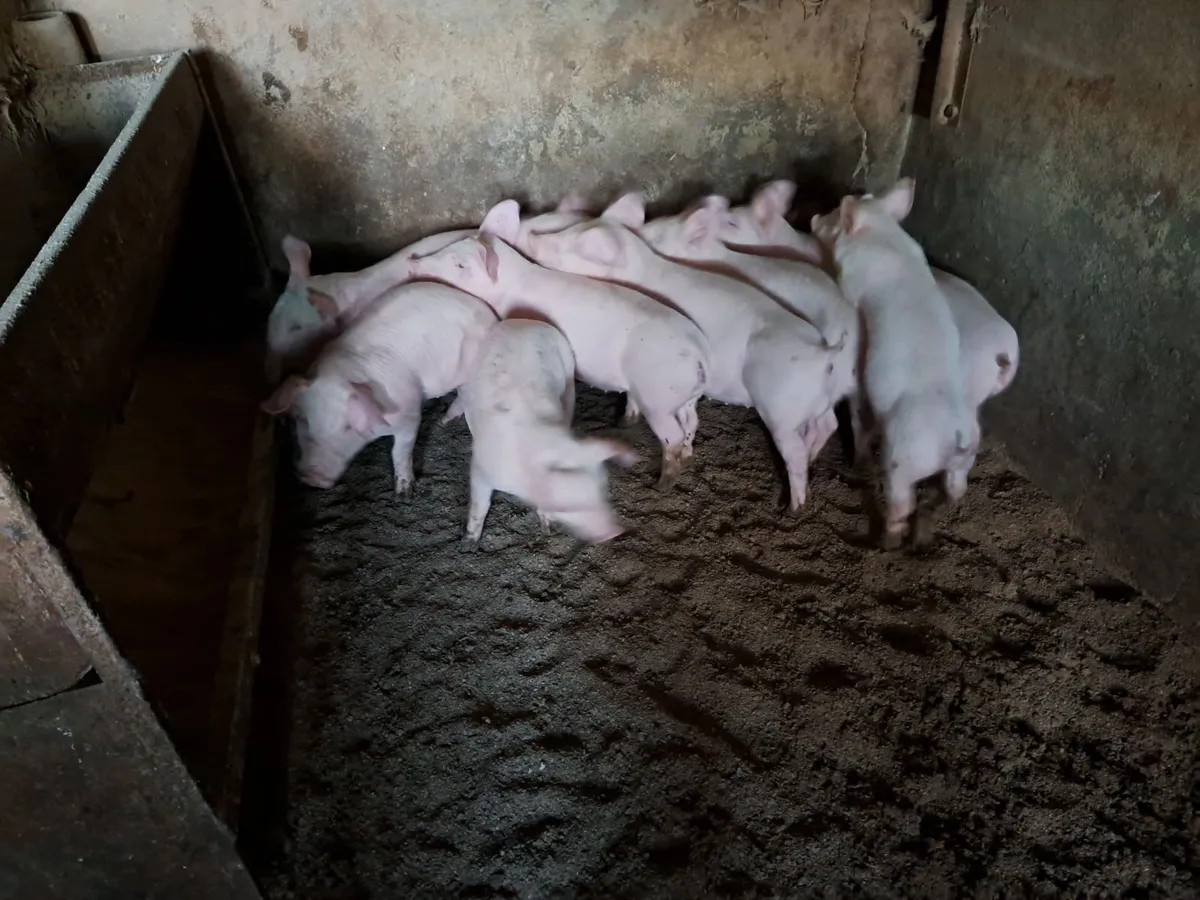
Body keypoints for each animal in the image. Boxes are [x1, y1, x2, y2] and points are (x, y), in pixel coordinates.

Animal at [260, 281, 497, 491]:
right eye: (302, 420)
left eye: (347, 426)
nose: (313, 478)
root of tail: (492, 317)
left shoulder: (408, 413)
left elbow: (401, 449)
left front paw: (404, 492)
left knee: (465, 397)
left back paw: (445, 421)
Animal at [408, 199, 710, 491]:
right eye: (447, 248)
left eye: (460, 265)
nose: (412, 261)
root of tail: (699, 353)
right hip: (683, 396)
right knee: (691, 423)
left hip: (659, 397)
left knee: (672, 436)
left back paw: (662, 485)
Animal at [446, 318, 633, 543]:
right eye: (570, 507)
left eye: (602, 489)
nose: (615, 532)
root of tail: (525, 321)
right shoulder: (481, 468)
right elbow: (479, 503)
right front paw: (471, 540)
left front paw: (546, 529)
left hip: (569, 373)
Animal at [523, 192, 844, 511]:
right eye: (568, 231)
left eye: (580, 247)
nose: (531, 237)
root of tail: (824, 353)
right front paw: (626, 421)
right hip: (818, 399)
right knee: (829, 424)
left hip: (781, 408)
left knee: (795, 451)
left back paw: (792, 508)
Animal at [811, 178, 977, 548]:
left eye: (834, 217)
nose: (813, 216)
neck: (883, 234)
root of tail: (954, 436)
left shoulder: (853, 278)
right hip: (964, 462)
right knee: (955, 491)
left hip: (904, 456)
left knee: (903, 502)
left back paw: (884, 543)